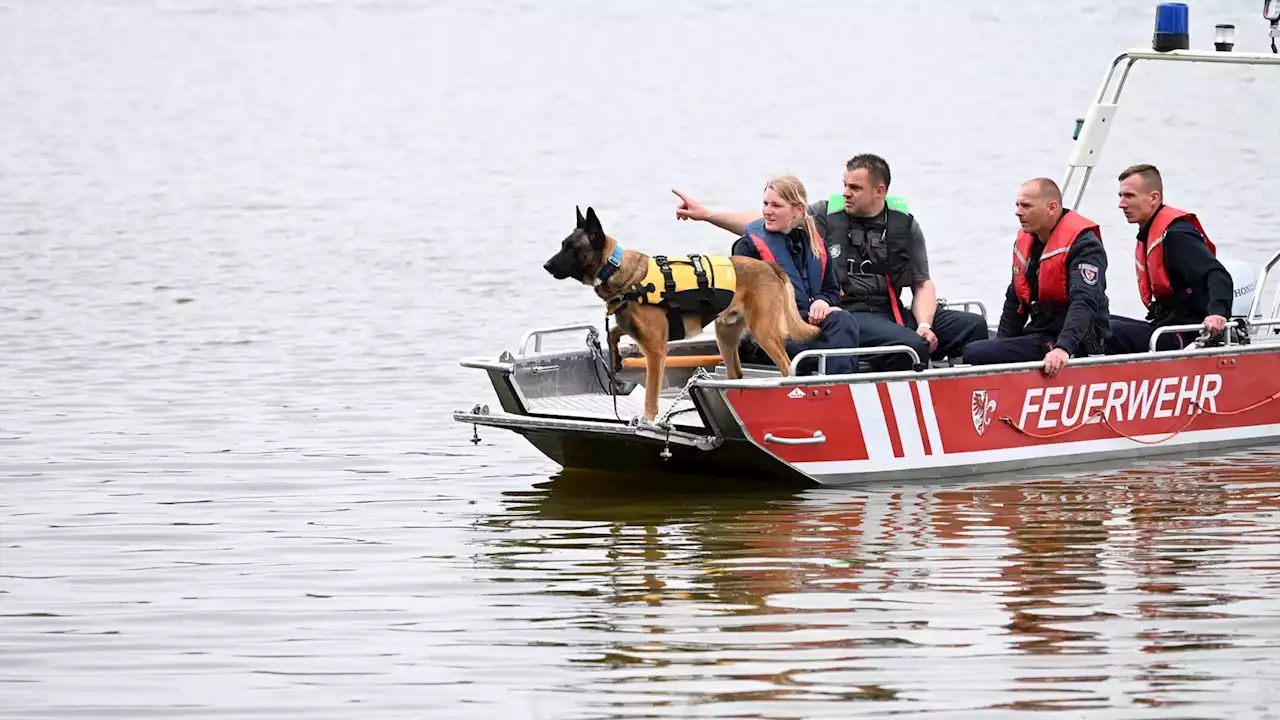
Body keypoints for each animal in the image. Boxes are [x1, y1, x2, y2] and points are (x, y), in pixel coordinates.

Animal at [540, 206, 819, 420]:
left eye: (571, 248)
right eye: (563, 245)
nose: (546, 265)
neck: (618, 270)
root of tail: (770, 267)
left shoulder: (656, 350)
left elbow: (651, 393)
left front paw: (648, 420)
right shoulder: (631, 327)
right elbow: (613, 333)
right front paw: (617, 359)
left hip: (763, 332)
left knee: (787, 368)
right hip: (725, 337)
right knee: (736, 375)